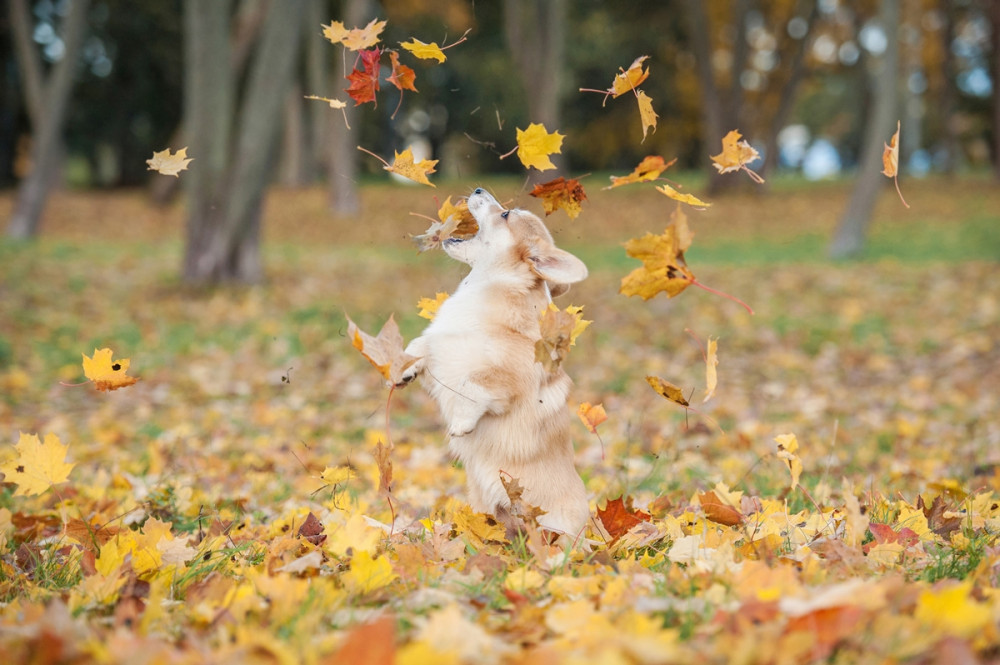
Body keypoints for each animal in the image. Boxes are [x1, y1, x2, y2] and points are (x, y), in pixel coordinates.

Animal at [394, 187, 588, 540]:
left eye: (506, 214)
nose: (478, 190)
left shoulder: (506, 382)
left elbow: (474, 384)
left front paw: (461, 423)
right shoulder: (442, 352)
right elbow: (421, 345)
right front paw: (406, 369)